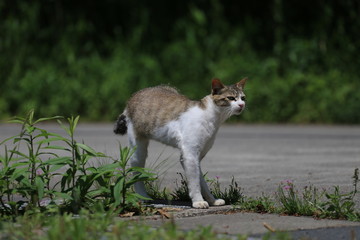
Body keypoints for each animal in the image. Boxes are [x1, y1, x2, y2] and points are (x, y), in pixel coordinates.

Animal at [114, 77, 246, 208]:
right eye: (231, 98)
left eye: (243, 98)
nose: (242, 104)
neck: (213, 118)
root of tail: (134, 95)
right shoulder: (189, 155)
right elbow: (194, 182)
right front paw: (198, 201)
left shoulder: (196, 157)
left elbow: (201, 181)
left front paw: (212, 200)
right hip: (138, 149)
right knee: (136, 169)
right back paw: (142, 196)